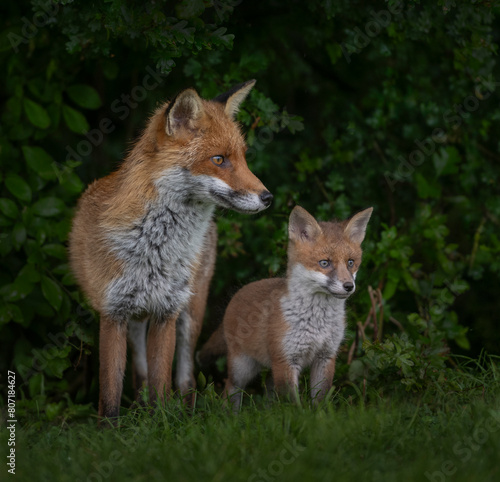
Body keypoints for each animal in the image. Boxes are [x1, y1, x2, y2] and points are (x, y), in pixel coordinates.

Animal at [68, 80, 272, 422]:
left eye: (243, 158)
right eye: (219, 160)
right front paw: (111, 429)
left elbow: (162, 382)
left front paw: (161, 421)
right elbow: (110, 393)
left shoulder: (167, 310)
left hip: (191, 312)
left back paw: (185, 411)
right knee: (139, 372)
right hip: (137, 319)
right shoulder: (112, 313)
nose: (268, 197)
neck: (155, 246)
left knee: (185, 376)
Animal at [197, 205, 374, 408]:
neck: (317, 321)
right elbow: (293, 404)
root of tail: (238, 293)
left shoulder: (325, 357)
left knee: (269, 390)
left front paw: (320, 415)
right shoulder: (286, 359)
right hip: (243, 369)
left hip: (270, 369)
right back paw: (231, 413)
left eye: (350, 262)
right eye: (324, 263)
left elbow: (320, 399)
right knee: (230, 389)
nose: (349, 286)